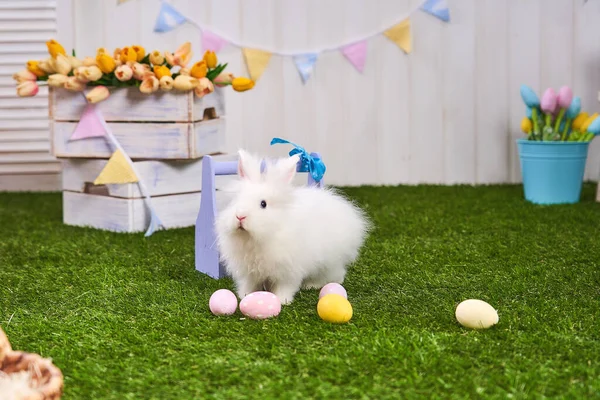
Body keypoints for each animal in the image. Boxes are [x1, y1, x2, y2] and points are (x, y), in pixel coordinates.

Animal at [213, 149, 368, 304]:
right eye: (235, 201)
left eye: (263, 204)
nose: (240, 216)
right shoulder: (249, 273)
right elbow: (249, 285)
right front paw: (244, 296)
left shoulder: (288, 270)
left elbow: (285, 286)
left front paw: (283, 300)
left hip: (330, 262)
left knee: (336, 275)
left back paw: (312, 285)